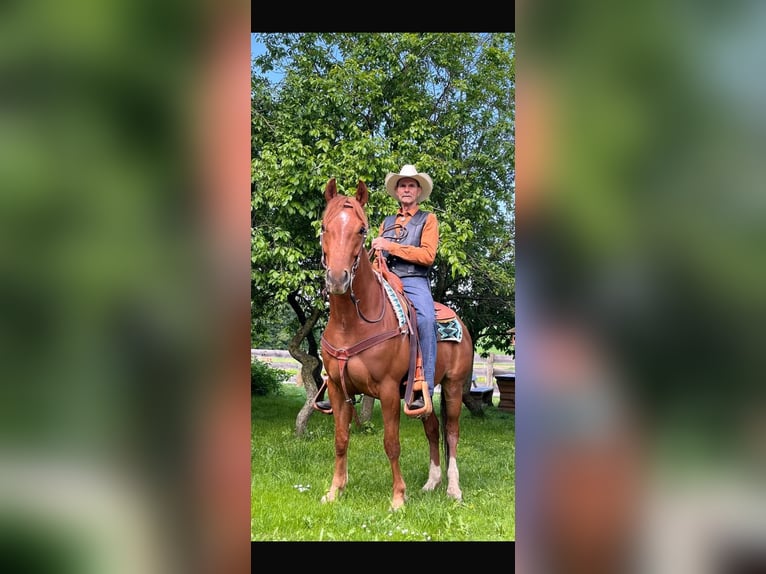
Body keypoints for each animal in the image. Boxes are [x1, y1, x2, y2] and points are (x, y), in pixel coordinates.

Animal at [318, 177, 475, 511]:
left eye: (362, 230)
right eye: (324, 227)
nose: (337, 279)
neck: (352, 323)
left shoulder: (389, 390)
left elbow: (391, 443)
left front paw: (398, 498)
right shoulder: (338, 389)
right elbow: (341, 440)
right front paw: (335, 491)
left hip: (453, 385)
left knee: (452, 432)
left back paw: (453, 489)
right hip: (422, 392)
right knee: (432, 427)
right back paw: (431, 483)